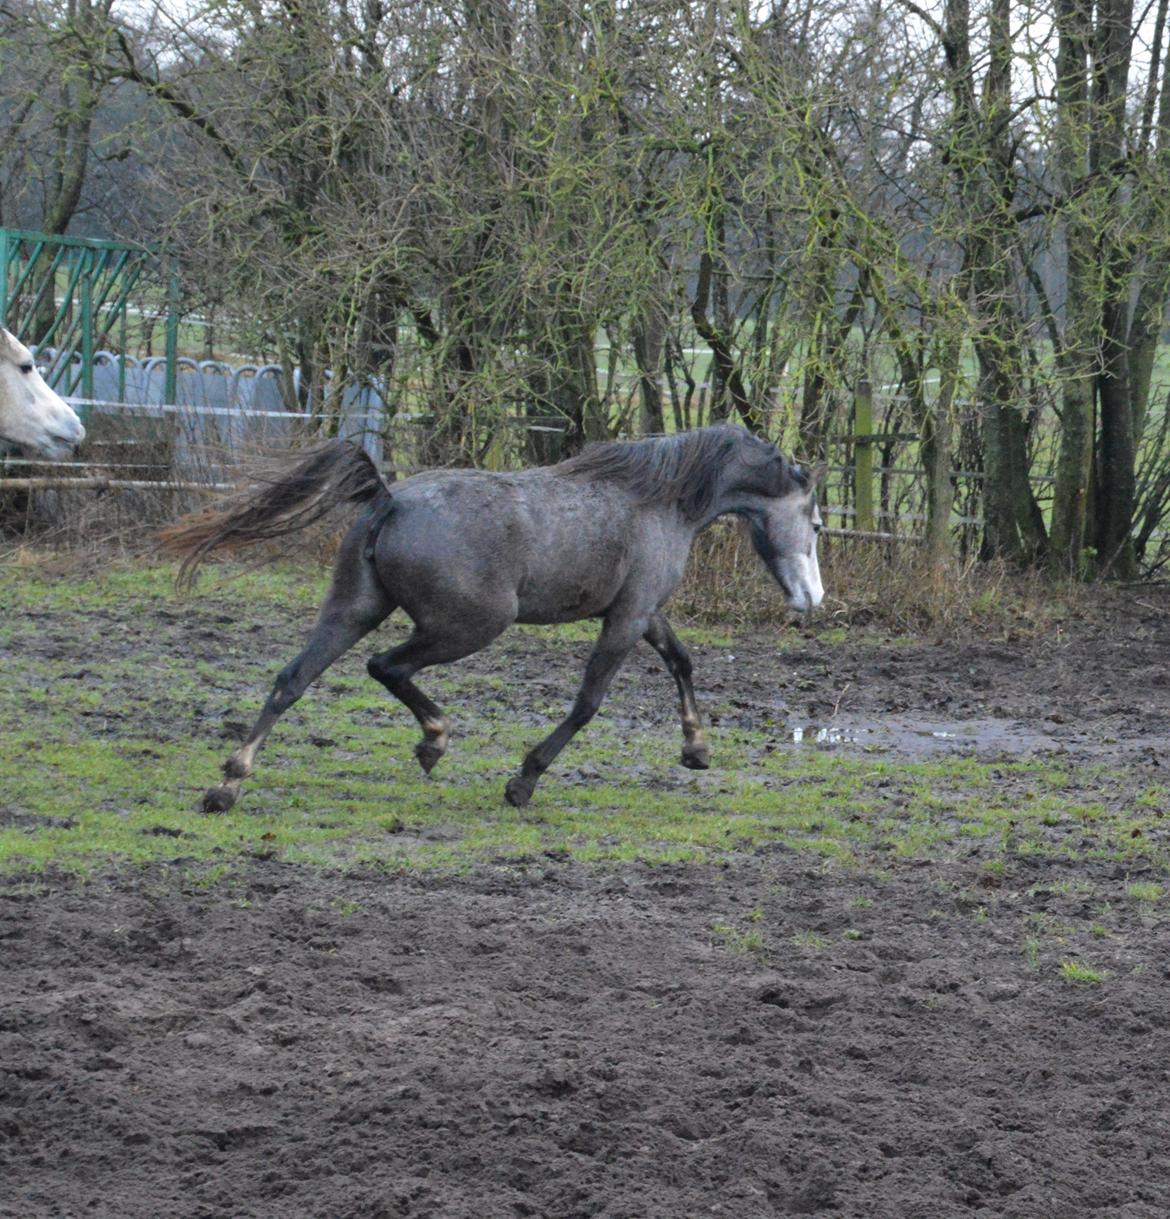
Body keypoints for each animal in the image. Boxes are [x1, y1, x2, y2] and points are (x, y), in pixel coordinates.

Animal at [164, 424, 823, 814]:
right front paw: (524, 781)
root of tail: (390, 499)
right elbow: (588, 703)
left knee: (293, 680)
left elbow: (682, 661)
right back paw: (433, 741)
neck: (658, 501)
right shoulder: (627, 617)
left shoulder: (643, 611)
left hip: (354, 608)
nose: (812, 599)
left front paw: (697, 749)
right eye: (815, 524)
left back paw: (228, 783)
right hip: (472, 626)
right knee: (385, 667)